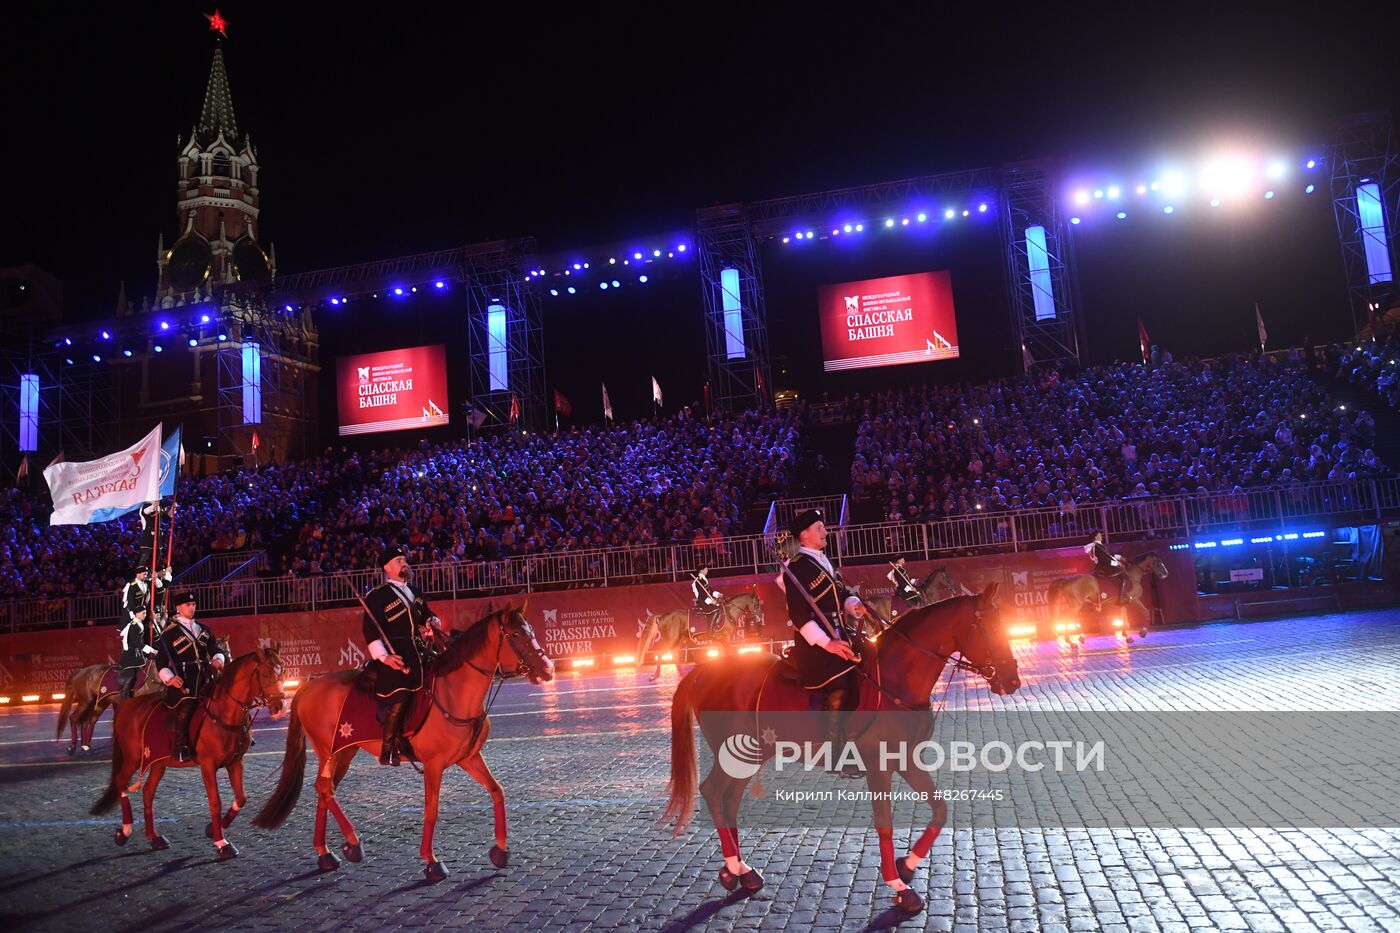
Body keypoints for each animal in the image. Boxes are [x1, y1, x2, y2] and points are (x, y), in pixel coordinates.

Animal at [89, 647, 287, 857]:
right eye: (264, 674)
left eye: (281, 670)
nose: (280, 706)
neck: (224, 713)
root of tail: (125, 706)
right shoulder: (208, 765)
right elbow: (215, 802)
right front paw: (222, 843)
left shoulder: (235, 762)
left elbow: (241, 798)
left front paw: (212, 830)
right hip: (132, 758)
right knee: (121, 784)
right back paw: (124, 832)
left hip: (158, 762)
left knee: (147, 792)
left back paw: (154, 838)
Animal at [249, 602, 554, 879]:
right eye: (516, 635)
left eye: (531, 631)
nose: (548, 669)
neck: (454, 692)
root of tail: (309, 686)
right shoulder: (433, 764)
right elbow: (432, 808)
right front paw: (432, 861)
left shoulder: (469, 758)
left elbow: (497, 791)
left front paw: (501, 850)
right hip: (328, 751)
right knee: (325, 788)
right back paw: (352, 843)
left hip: (344, 751)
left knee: (324, 789)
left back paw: (327, 853)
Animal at [638, 591, 767, 680]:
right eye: (756, 604)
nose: (759, 618)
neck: (729, 613)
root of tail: (663, 616)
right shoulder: (725, 639)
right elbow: (730, 654)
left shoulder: (722, 641)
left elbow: (724, 655)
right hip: (671, 640)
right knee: (660, 654)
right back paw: (655, 676)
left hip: (677, 640)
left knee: (674, 656)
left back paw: (683, 674)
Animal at [660, 585, 1024, 913]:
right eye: (990, 628)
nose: (1012, 681)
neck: (896, 679)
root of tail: (704, 672)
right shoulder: (879, 766)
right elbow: (885, 824)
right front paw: (900, 887)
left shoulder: (907, 760)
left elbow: (940, 811)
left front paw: (907, 867)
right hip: (735, 755)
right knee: (712, 791)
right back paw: (735, 867)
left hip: (751, 755)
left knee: (729, 800)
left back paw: (740, 871)